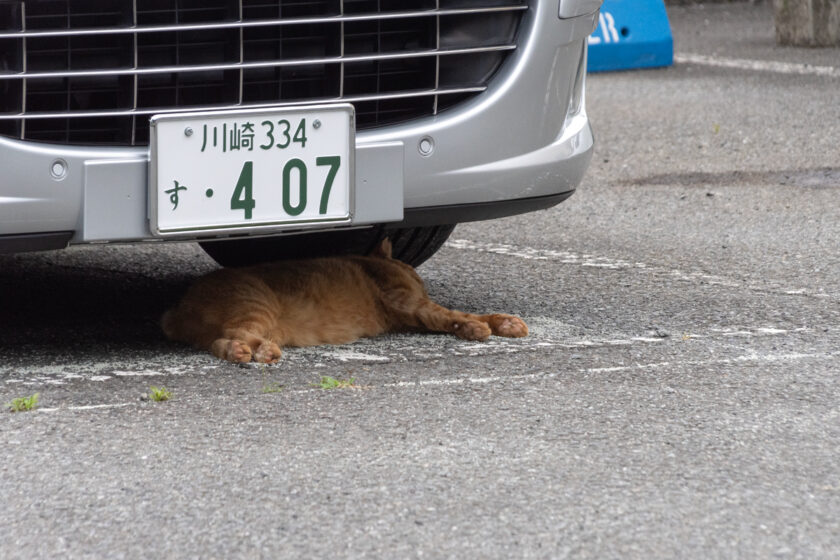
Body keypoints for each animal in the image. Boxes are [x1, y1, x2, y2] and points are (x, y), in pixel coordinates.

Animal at [162, 237, 528, 364]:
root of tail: (177, 310)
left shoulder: (409, 315)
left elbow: (466, 315)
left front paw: (506, 323)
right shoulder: (409, 304)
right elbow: (456, 315)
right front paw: (478, 328)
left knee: (221, 342)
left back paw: (244, 353)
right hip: (257, 305)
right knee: (236, 334)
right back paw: (260, 352)